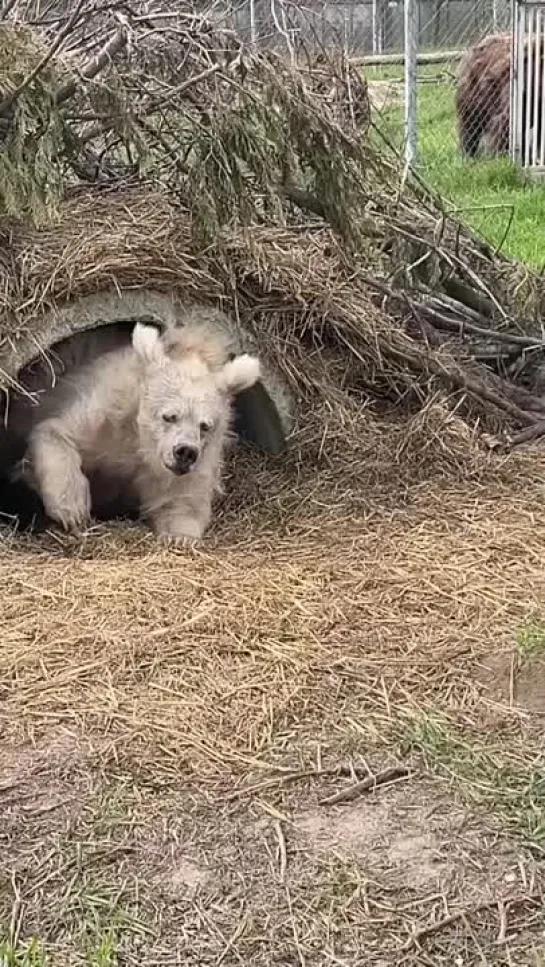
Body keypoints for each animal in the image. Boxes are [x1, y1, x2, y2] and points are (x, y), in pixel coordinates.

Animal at [6, 318, 262, 544]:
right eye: (169, 416)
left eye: (205, 425)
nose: (185, 452)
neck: (140, 440)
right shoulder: (106, 414)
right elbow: (56, 431)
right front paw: (72, 509)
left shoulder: (192, 463)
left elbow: (180, 500)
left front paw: (180, 537)